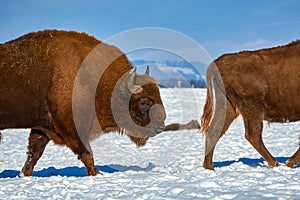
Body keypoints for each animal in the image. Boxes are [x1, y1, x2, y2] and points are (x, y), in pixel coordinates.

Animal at [0, 30, 166, 177]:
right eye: (144, 102)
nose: (160, 127)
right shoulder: (72, 129)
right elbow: (86, 153)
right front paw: (96, 174)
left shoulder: (42, 128)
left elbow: (34, 153)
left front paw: (24, 174)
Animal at [200, 39, 300, 170]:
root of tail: (220, 61)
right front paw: (289, 163)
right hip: (252, 109)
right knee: (253, 135)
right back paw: (276, 163)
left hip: (229, 107)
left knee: (214, 131)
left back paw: (209, 167)